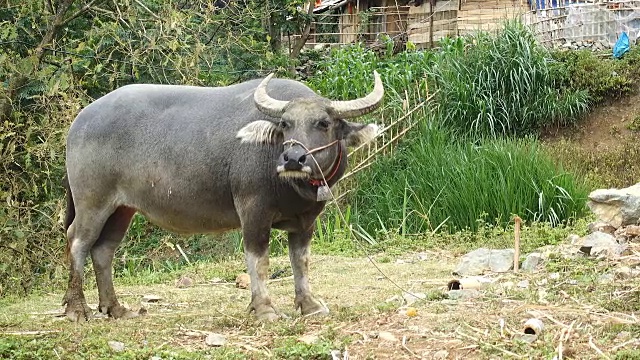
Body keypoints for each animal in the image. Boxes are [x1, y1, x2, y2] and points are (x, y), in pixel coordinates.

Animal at [62, 70, 382, 320]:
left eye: (323, 123)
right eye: (285, 124)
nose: (293, 159)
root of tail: (80, 121)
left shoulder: (306, 220)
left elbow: (300, 261)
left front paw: (309, 305)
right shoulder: (253, 210)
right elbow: (258, 260)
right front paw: (264, 309)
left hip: (121, 208)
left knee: (103, 250)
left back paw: (115, 308)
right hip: (92, 201)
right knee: (78, 241)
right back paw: (77, 309)